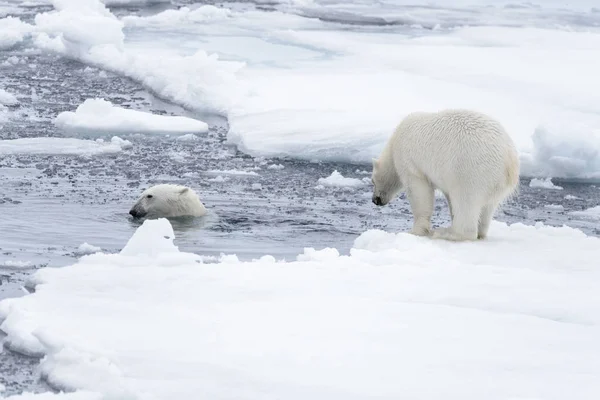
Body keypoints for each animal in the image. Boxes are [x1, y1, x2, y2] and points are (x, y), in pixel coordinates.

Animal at [370, 108, 520, 241]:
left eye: (372, 181)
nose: (375, 200)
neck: (394, 142)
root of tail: (509, 159)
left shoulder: (410, 162)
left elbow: (419, 192)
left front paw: (415, 231)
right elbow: (448, 197)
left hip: (471, 170)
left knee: (465, 201)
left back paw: (446, 233)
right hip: (496, 183)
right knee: (487, 208)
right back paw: (479, 232)